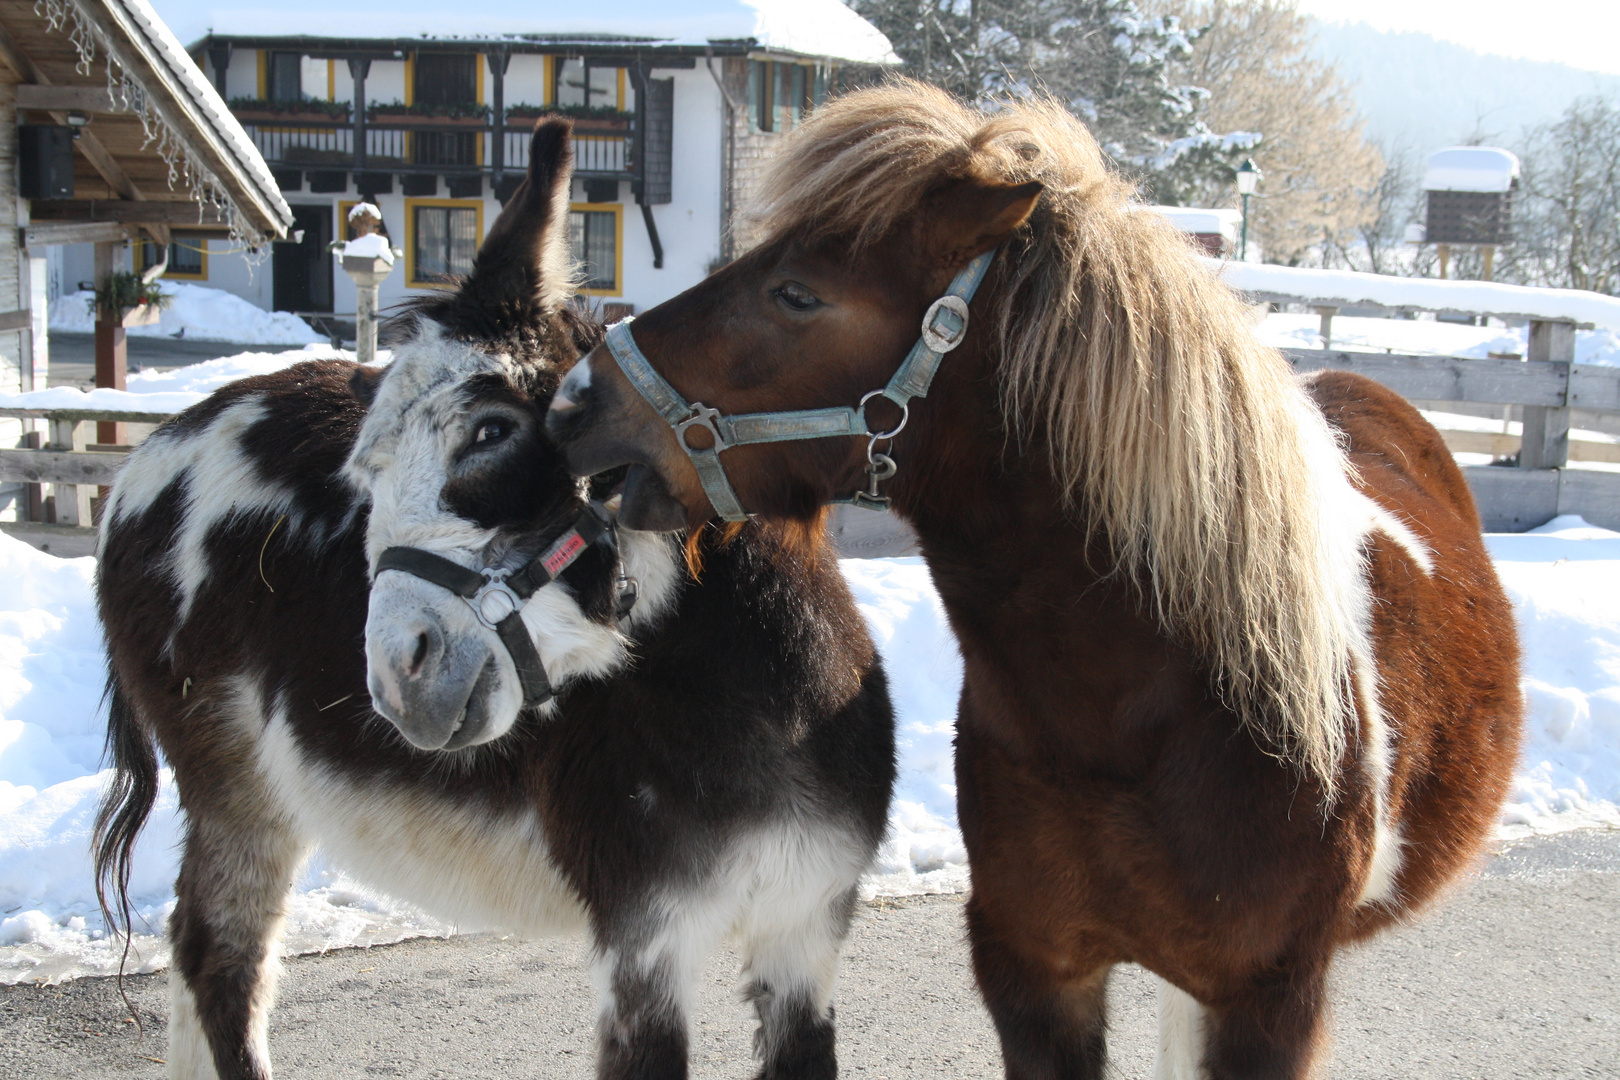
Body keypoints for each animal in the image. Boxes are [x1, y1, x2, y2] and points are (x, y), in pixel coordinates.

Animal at [94, 118, 900, 1080]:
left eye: (491, 432)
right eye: (363, 479)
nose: (398, 677)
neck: (749, 695)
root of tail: (150, 454)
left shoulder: (806, 926)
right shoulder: (645, 937)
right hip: (235, 781)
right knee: (222, 957)